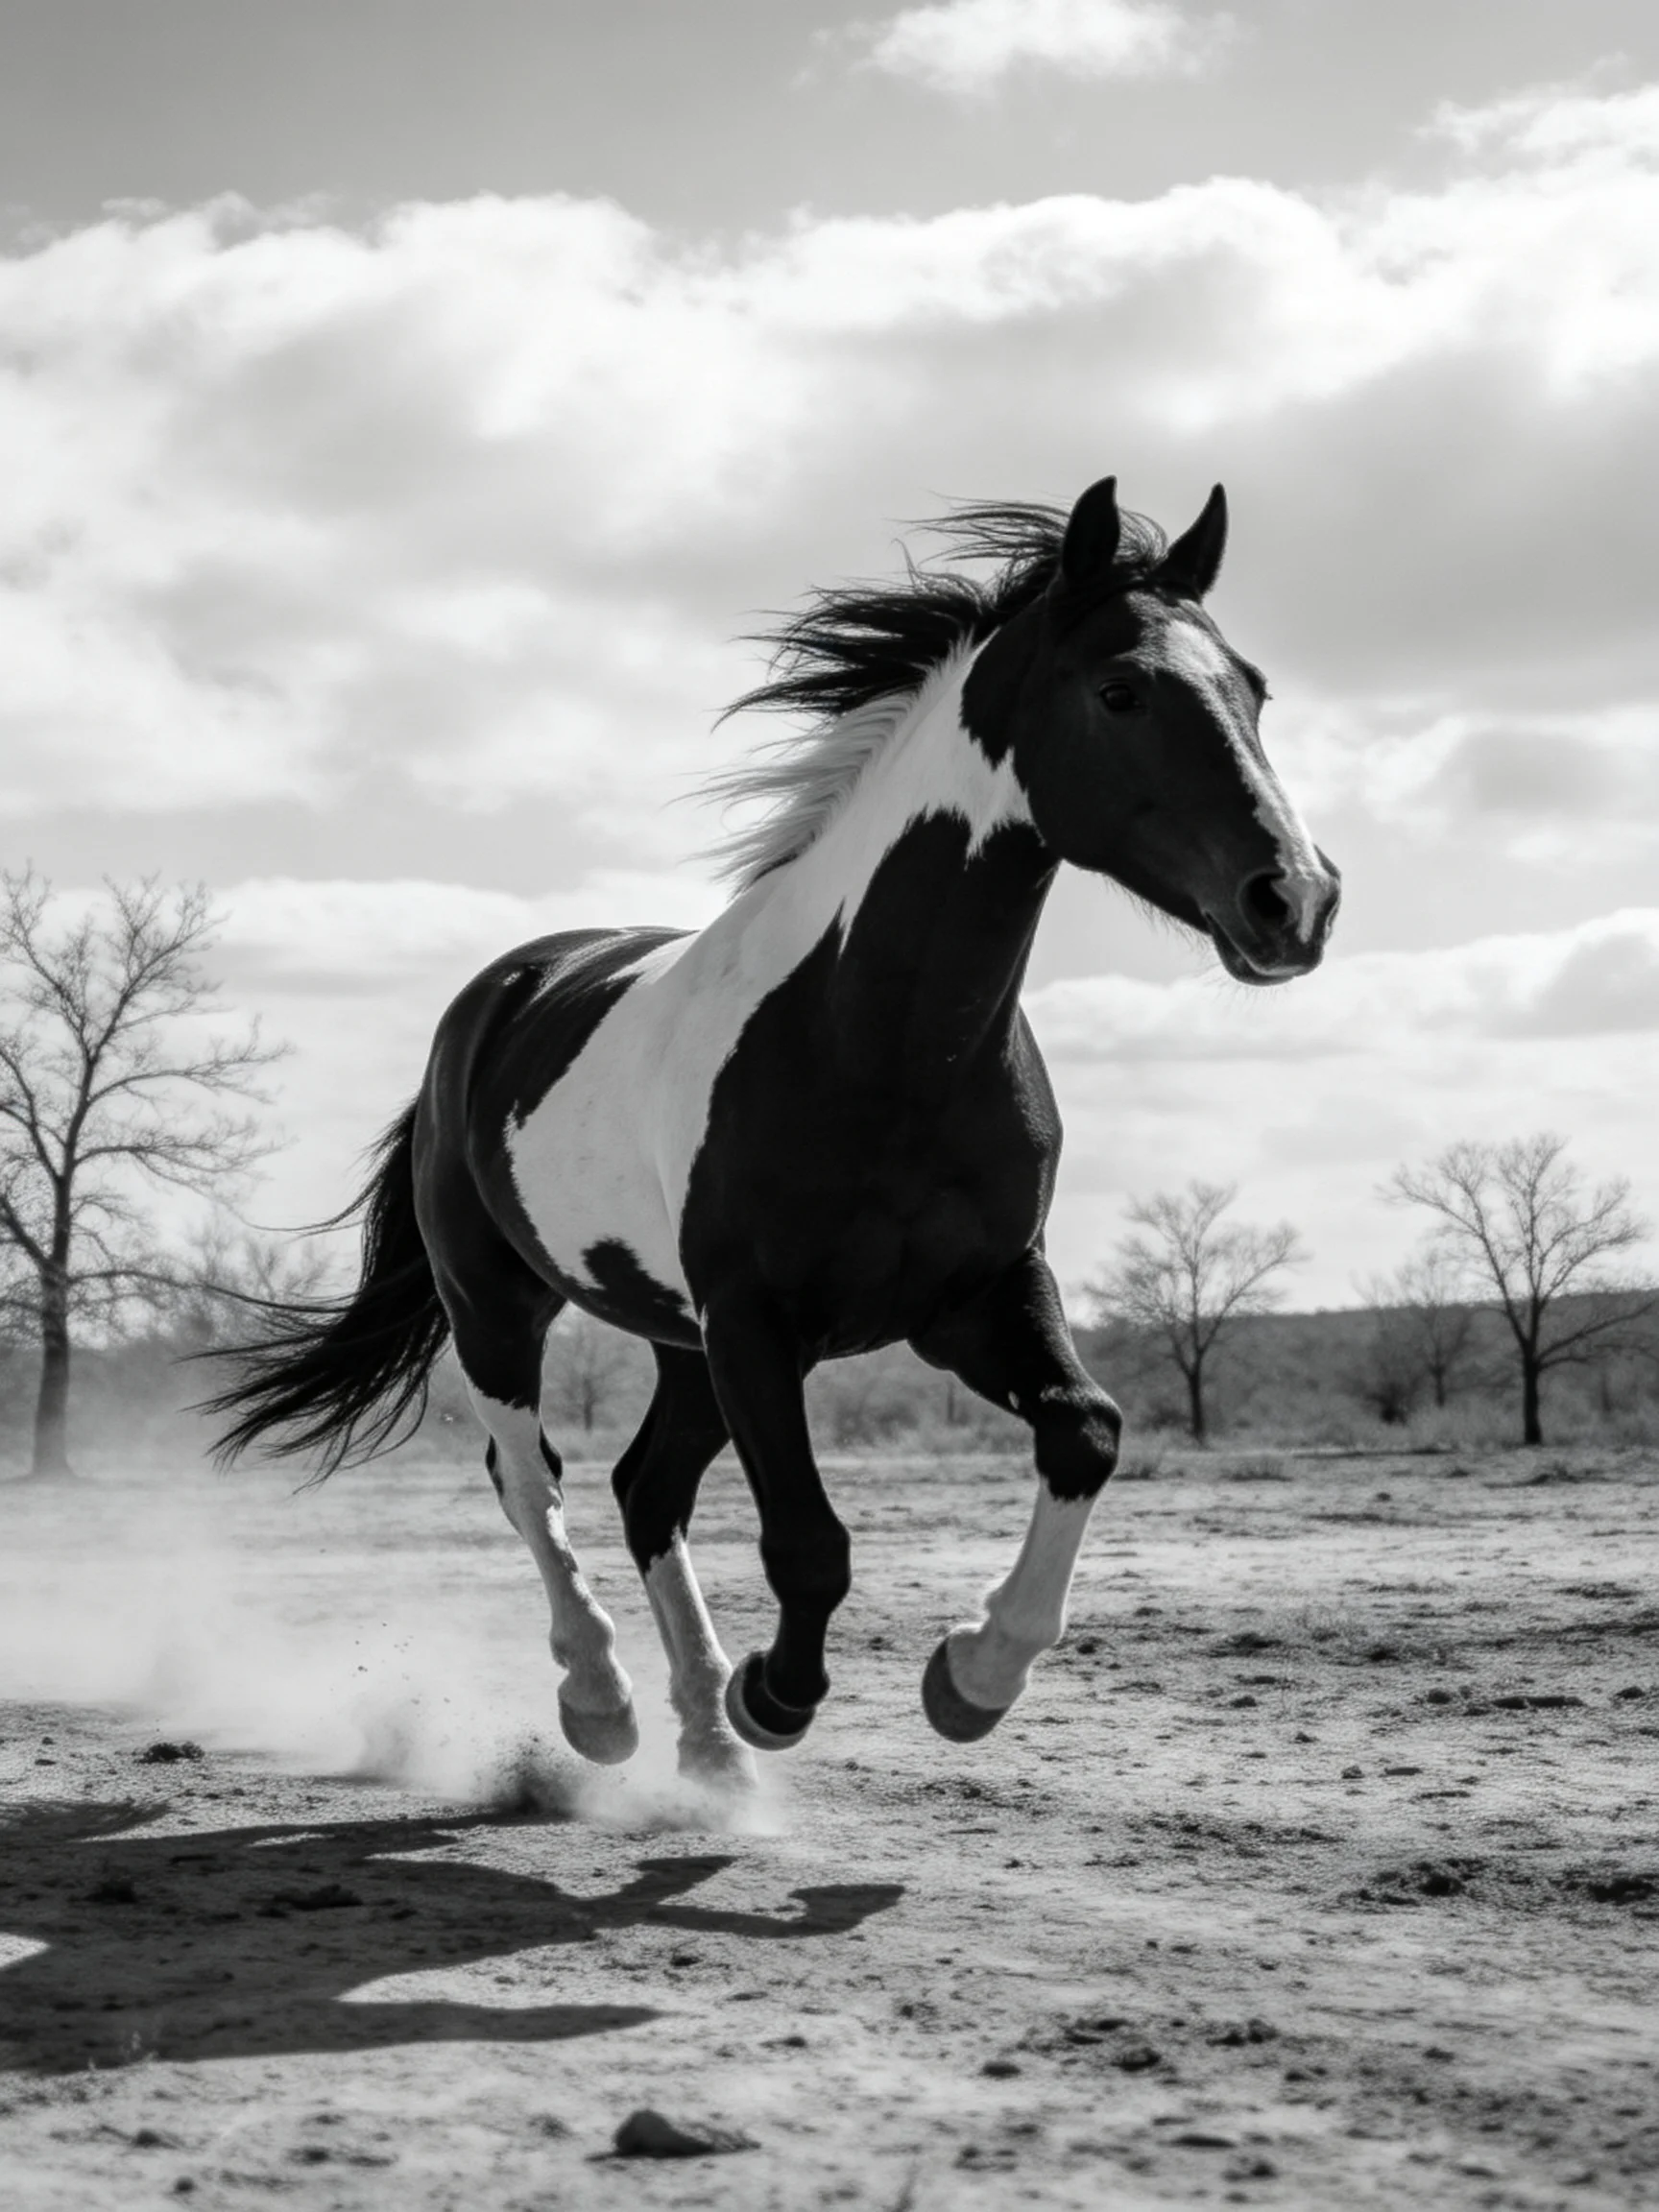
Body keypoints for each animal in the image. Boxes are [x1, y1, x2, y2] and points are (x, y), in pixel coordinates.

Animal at [211, 475, 1340, 1786]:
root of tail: (500, 995)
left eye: (1252, 689)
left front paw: (973, 1677)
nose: (1296, 899)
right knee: (532, 1481)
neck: (877, 1043)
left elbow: (1086, 1432)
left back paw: (706, 1743)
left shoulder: (977, 1297)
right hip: (501, 1306)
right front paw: (778, 1696)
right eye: (1120, 691)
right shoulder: (757, 1321)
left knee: (644, 1489)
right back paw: (607, 1705)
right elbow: (809, 1543)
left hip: (680, 1344)